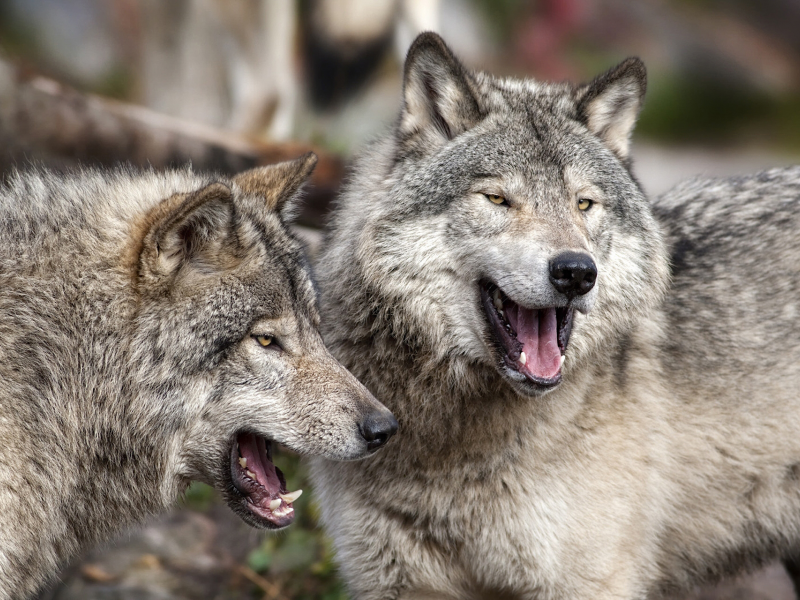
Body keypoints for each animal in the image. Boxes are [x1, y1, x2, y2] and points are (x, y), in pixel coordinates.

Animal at [312, 31, 800, 600]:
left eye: (583, 203)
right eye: (497, 198)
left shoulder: (588, 581)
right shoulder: (396, 583)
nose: (576, 272)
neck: (451, 444)